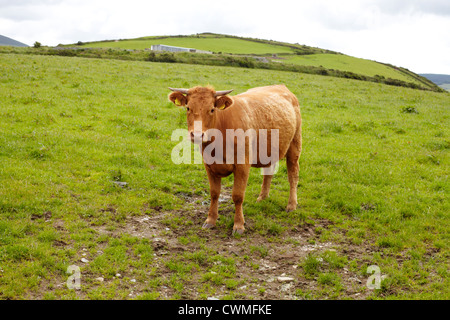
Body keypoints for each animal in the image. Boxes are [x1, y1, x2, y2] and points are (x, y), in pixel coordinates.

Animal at [169, 85, 302, 235]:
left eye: (212, 109)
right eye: (188, 108)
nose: (197, 135)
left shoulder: (242, 165)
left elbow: (237, 196)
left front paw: (238, 225)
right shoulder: (209, 166)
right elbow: (214, 193)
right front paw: (210, 220)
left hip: (295, 144)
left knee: (293, 175)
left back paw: (291, 205)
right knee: (268, 172)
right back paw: (262, 197)